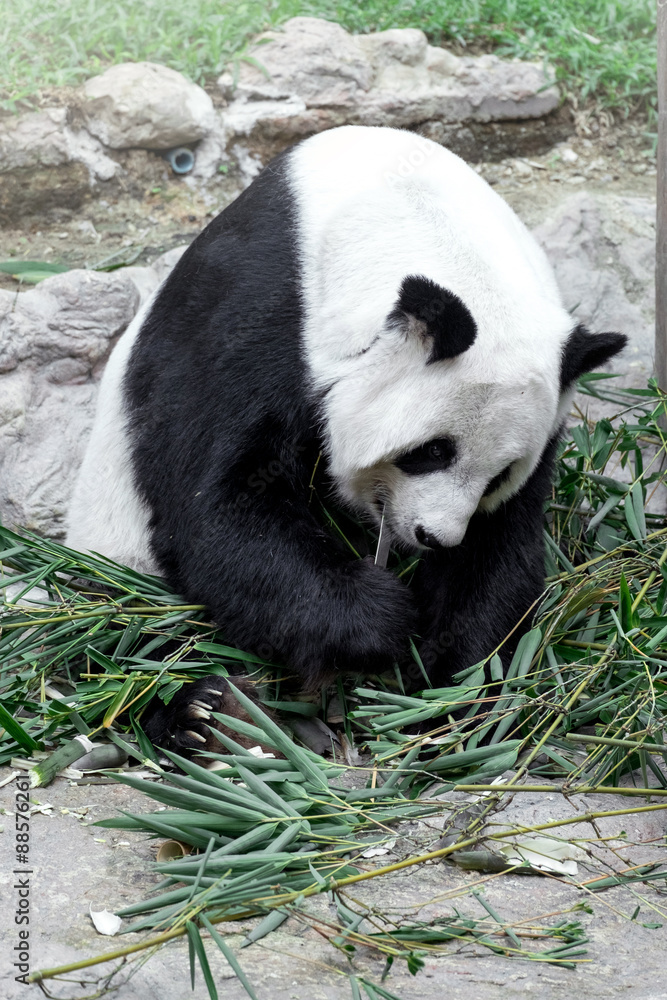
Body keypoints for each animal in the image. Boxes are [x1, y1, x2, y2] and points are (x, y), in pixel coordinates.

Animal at [66, 125, 626, 752]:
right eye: (431, 451)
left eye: (498, 475)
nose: (433, 537)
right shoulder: (261, 310)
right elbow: (216, 505)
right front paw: (379, 619)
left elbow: (500, 551)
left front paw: (439, 691)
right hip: (114, 546)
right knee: (120, 635)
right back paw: (200, 711)